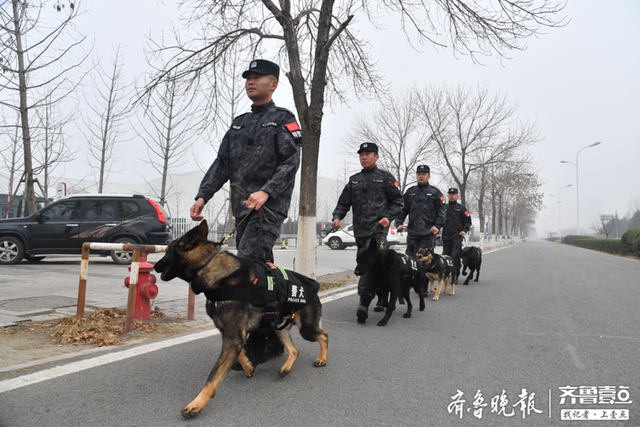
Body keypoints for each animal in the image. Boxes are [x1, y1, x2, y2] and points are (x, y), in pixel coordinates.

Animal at [152, 222, 328, 420]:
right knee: (295, 349)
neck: (207, 264)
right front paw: (248, 367)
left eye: (166, 252)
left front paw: (196, 405)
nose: (154, 266)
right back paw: (286, 368)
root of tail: (315, 286)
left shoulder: (233, 337)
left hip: (306, 329)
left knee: (324, 336)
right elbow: (240, 353)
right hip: (278, 329)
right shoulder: (231, 335)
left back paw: (322, 359)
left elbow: (212, 378)